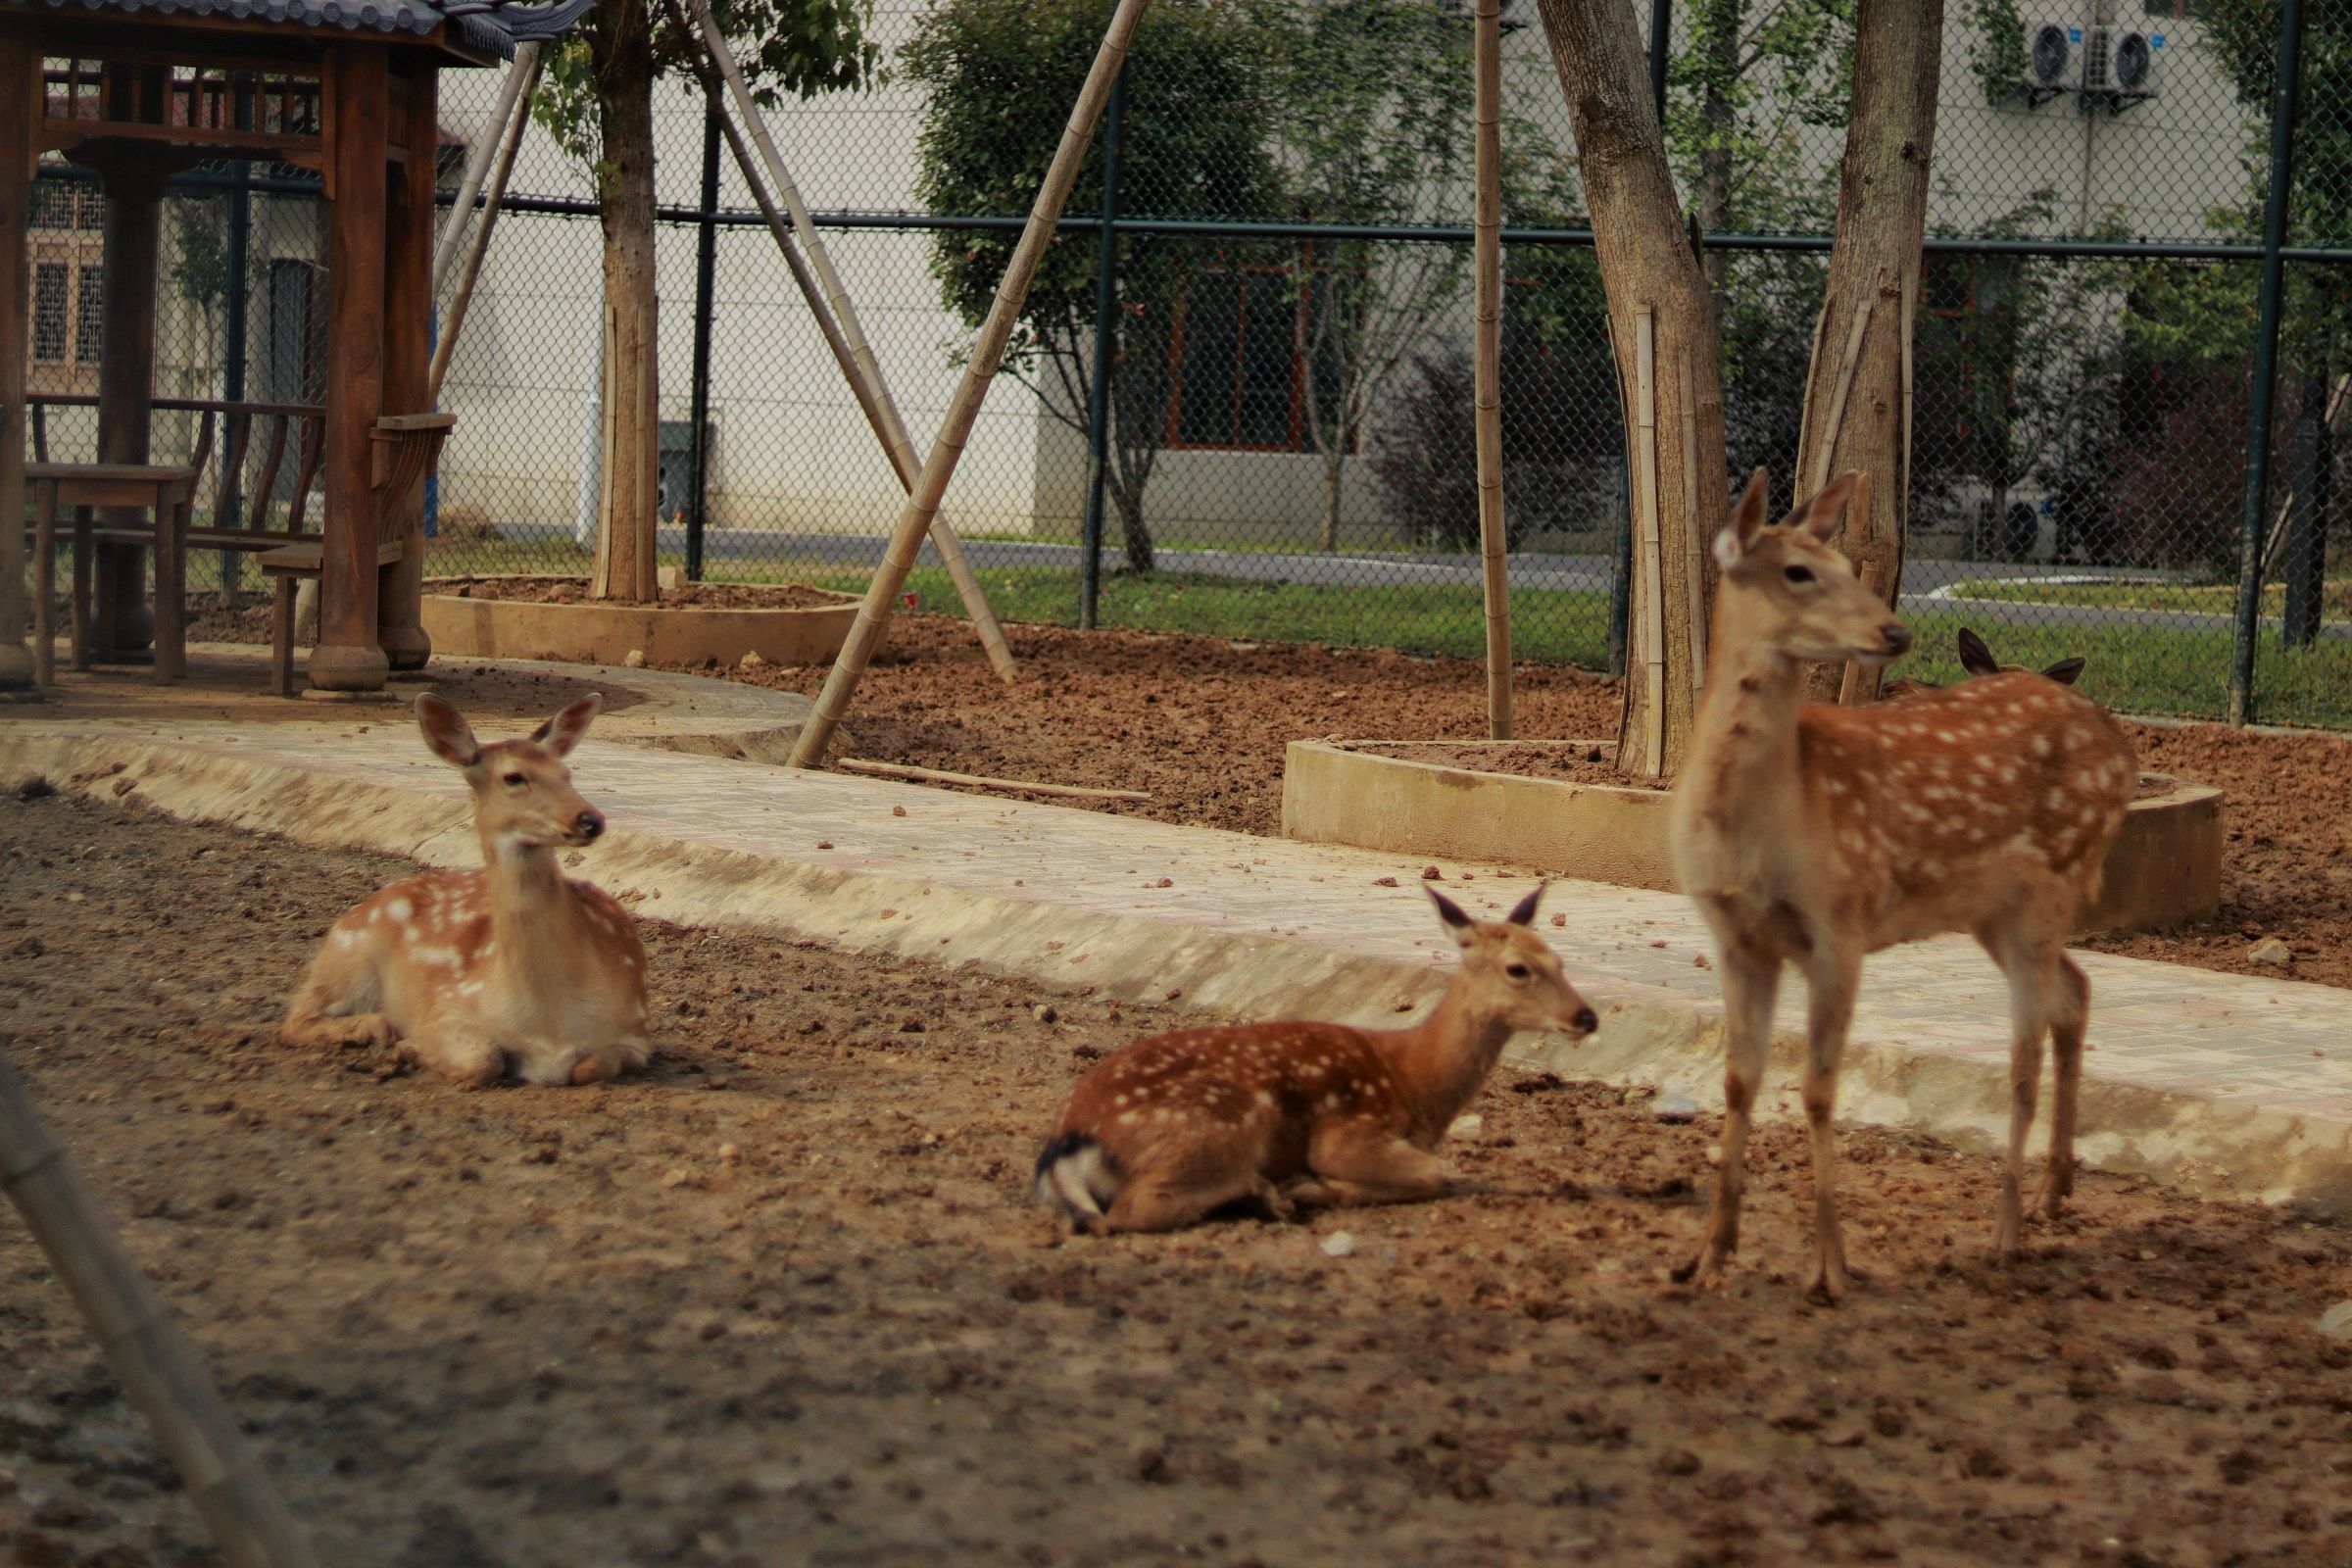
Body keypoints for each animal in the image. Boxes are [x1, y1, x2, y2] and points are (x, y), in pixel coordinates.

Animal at [283, 694, 652, 1087]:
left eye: (566, 774)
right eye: (513, 777)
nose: (590, 820)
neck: (549, 1026)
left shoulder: (636, 1029)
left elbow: (589, 1067)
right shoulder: (445, 1005)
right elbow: (484, 1058)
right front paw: (411, 1048)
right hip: (346, 956)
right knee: (295, 1017)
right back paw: (376, 1029)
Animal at [1034, 886, 1599, 1234]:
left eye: (1561, 961)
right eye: (1518, 969)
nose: (1588, 1016)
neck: (1414, 1084)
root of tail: (1070, 1141)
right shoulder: (1346, 1130)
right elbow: (1432, 1174)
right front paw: (1317, 1186)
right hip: (1220, 1123)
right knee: (1131, 1210)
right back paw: (1273, 1193)